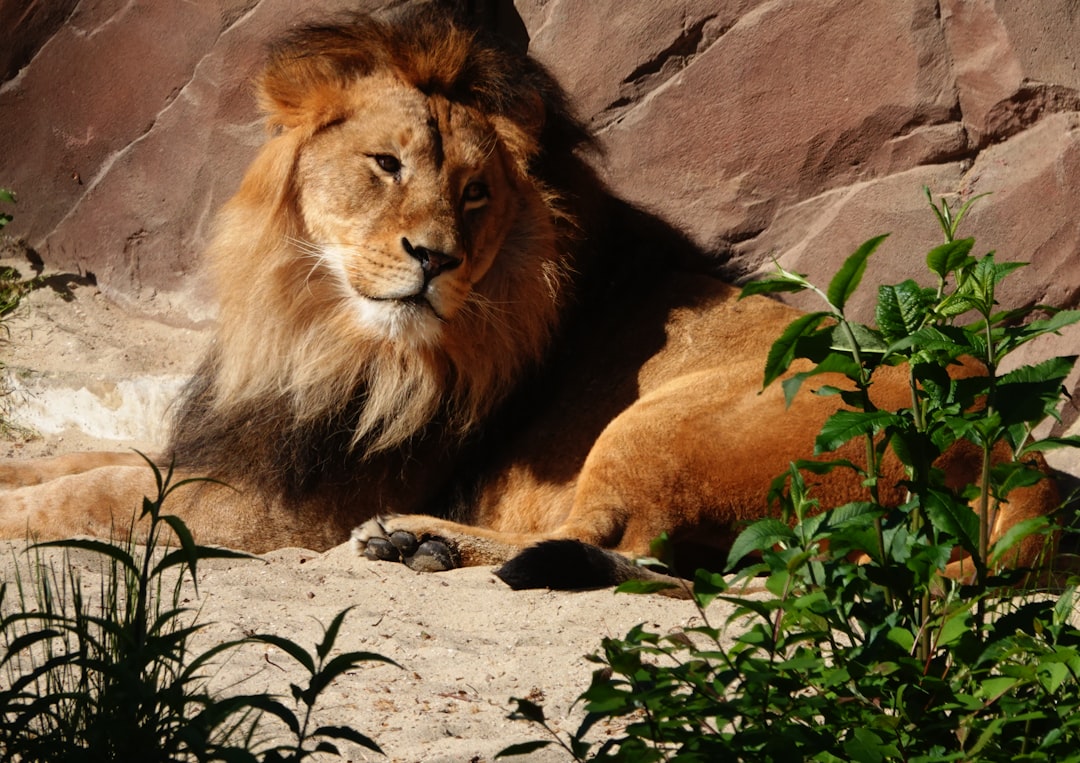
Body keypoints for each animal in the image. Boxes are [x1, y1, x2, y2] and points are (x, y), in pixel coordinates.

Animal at [0, 7, 1058, 587]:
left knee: (607, 542)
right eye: (386, 165)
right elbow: (82, 461)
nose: (432, 258)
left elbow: (96, 492)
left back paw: (417, 541)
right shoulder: (240, 438)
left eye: (475, 193)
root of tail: (1021, 457)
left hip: (665, 421)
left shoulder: (287, 510)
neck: (315, 322)